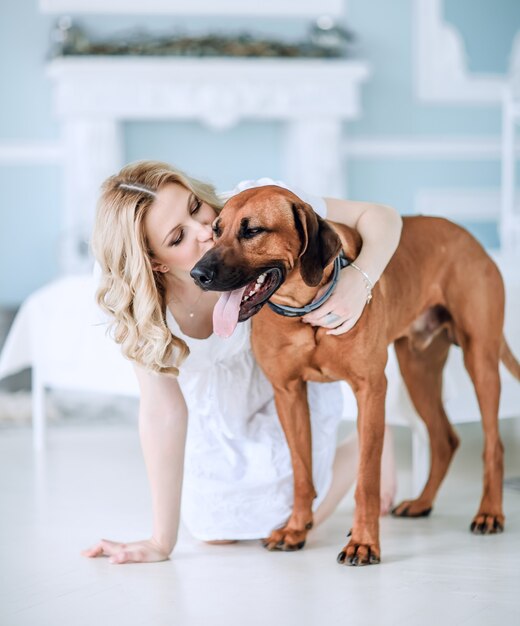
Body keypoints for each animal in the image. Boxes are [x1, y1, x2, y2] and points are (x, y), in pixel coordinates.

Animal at [192, 183, 520, 564]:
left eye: (253, 231)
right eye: (215, 231)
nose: (197, 274)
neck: (305, 309)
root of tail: (471, 239)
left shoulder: (370, 389)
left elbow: (366, 479)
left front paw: (363, 542)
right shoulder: (288, 392)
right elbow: (301, 472)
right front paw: (294, 529)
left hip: (480, 359)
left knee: (494, 445)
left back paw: (490, 512)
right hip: (418, 370)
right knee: (444, 439)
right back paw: (422, 502)